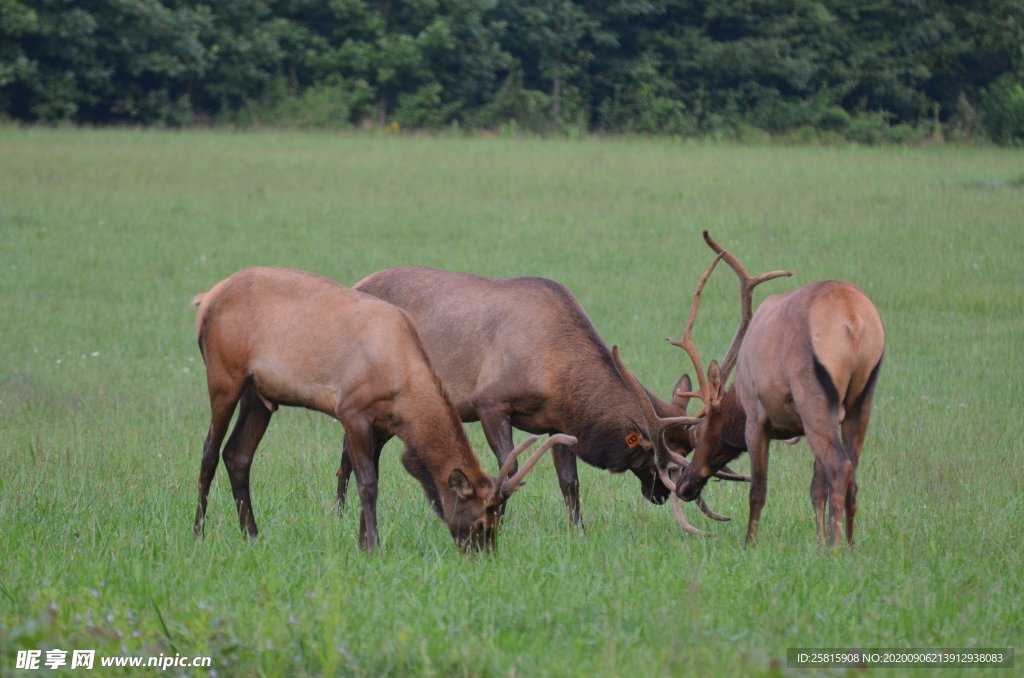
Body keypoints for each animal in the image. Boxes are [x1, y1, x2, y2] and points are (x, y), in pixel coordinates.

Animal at [190, 266, 569, 553]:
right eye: (480, 522)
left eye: (495, 522)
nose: (485, 555)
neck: (402, 379)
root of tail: (205, 299)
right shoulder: (352, 410)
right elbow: (368, 482)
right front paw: (372, 545)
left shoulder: (381, 423)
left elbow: (371, 474)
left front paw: (362, 540)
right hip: (224, 376)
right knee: (209, 450)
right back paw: (198, 532)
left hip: (260, 395)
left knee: (237, 455)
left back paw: (252, 535)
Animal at [335, 266, 745, 536]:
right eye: (659, 460)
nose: (663, 494)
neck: (556, 373)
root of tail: (357, 282)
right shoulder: (490, 401)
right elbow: (511, 468)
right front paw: (497, 520)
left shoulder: (557, 422)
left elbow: (570, 481)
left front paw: (578, 530)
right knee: (349, 454)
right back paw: (338, 513)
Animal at [610, 231, 884, 548]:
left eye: (699, 434)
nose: (684, 486)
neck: (738, 395)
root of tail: (854, 322)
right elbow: (816, 487)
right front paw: (816, 540)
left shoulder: (756, 418)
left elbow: (759, 489)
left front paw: (749, 544)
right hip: (861, 400)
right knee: (852, 470)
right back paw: (849, 546)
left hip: (814, 398)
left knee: (840, 467)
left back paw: (834, 549)